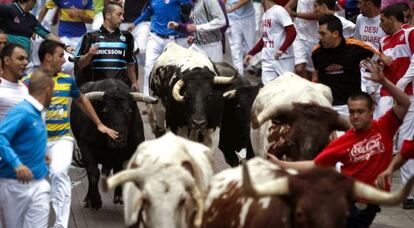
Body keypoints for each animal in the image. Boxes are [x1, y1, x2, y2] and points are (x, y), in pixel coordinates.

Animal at [70, 79, 158, 209]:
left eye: (129, 111)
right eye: (105, 111)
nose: (118, 141)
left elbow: (120, 172)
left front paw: (119, 196)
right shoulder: (85, 146)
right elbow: (93, 173)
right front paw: (95, 201)